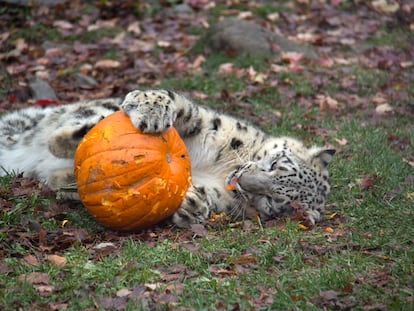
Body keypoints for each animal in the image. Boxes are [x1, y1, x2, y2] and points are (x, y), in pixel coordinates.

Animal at [0, 90, 334, 229]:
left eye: (272, 199)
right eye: (276, 162)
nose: (242, 180)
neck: (223, 168)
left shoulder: (224, 197)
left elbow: (208, 199)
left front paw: (192, 204)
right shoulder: (214, 125)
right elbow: (184, 108)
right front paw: (152, 109)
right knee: (71, 128)